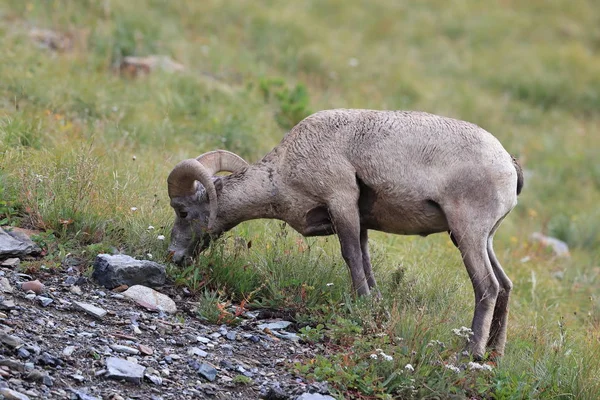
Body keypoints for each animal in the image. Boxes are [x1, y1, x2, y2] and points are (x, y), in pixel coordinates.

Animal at [166, 109, 524, 360]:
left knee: (487, 288)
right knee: (505, 286)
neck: (282, 173)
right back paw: (495, 354)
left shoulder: (341, 204)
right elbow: (366, 265)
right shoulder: (359, 222)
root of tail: (508, 163)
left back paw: (470, 353)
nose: (173, 256)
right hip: (481, 239)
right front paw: (375, 310)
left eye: (183, 212)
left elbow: (351, 259)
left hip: (468, 234)